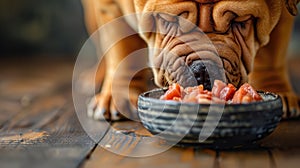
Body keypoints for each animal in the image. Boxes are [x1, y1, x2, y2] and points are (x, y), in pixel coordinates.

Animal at [81, 0, 298, 121]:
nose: (202, 68)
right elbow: (122, 48)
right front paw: (117, 98)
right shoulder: (108, 5)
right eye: (168, 20)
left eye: (240, 22)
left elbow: (271, 54)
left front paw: (277, 91)